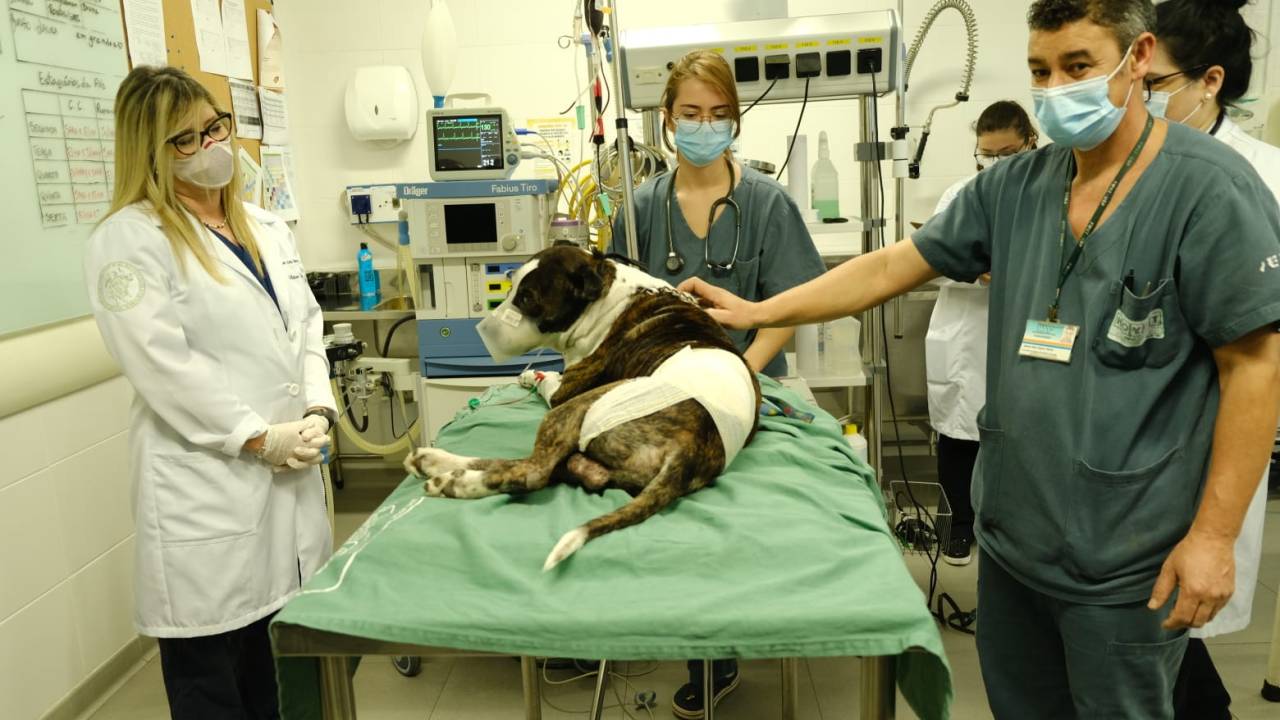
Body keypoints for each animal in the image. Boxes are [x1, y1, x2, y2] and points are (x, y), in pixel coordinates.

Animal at [401, 243, 757, 568]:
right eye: (510, 283)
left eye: (527, 298)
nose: (484, 333)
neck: (609, 295)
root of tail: (691, 446)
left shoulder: (566, 391)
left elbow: (549, 381)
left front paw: (532, 375)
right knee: (522, 464)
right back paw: (434, 463)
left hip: (573, 410)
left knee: (532, 471)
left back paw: (456, 482)